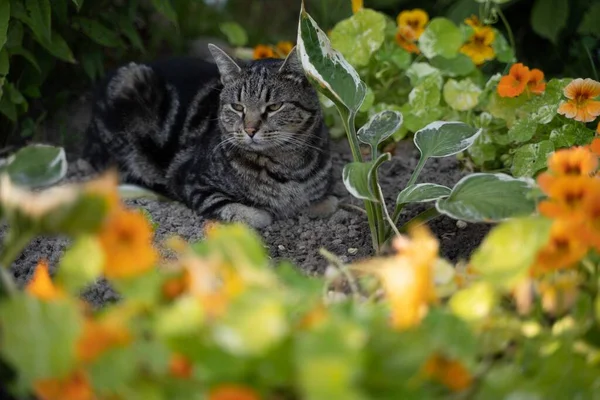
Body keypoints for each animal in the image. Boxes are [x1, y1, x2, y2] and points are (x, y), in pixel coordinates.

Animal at [82, 44, 338, 228]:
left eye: (274, 107)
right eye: (238, 107)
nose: (250, 130)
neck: (287, 166)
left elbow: (325, 200)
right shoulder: (192, 181)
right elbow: (249, 213)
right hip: (131, 86)